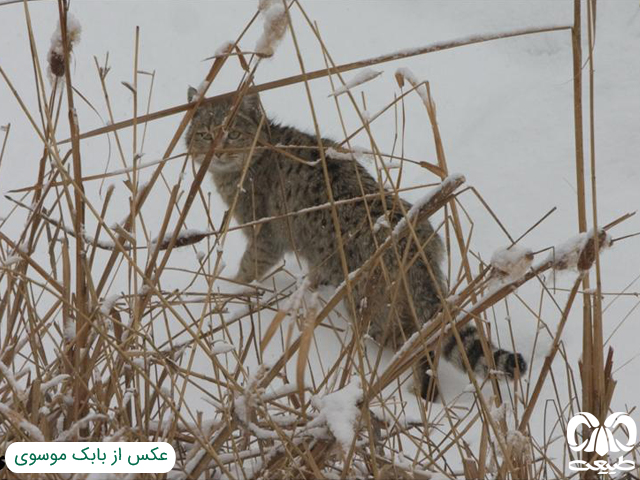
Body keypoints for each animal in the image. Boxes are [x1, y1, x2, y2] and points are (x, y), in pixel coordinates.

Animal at [185, 88, 524, 400]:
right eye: (205, 134)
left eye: (233, 134)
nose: (217, 151)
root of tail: (415, 243)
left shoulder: (265, 236)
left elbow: (247, 269)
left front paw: (227, 291)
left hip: (372, 310)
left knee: (414, 344)